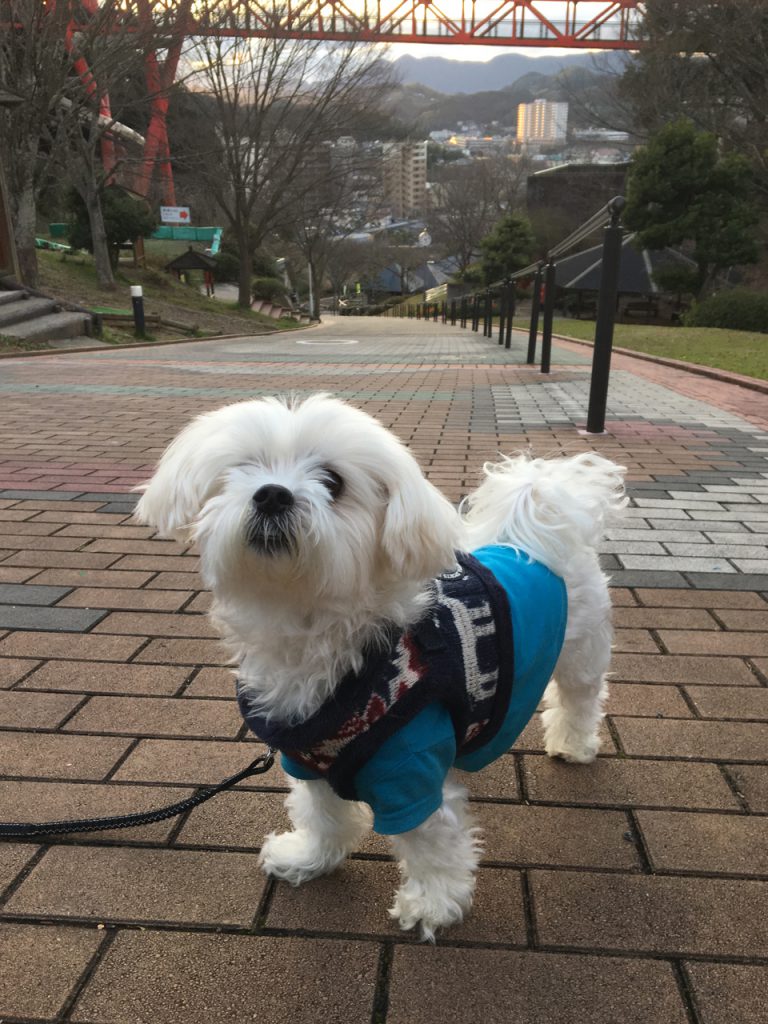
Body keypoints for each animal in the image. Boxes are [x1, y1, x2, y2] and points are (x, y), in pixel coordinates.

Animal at [136, 393, 626, 940]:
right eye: (244, 470)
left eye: (332, 482)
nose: (271, 495)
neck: (307, 628)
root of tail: (534, 528)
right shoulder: (305, 759)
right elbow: (320, 813)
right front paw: (308, 858)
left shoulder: (409, 771)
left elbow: (432, 842)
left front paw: (432, 905)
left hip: (582, 654)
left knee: (580, 699)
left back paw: (573, 745)